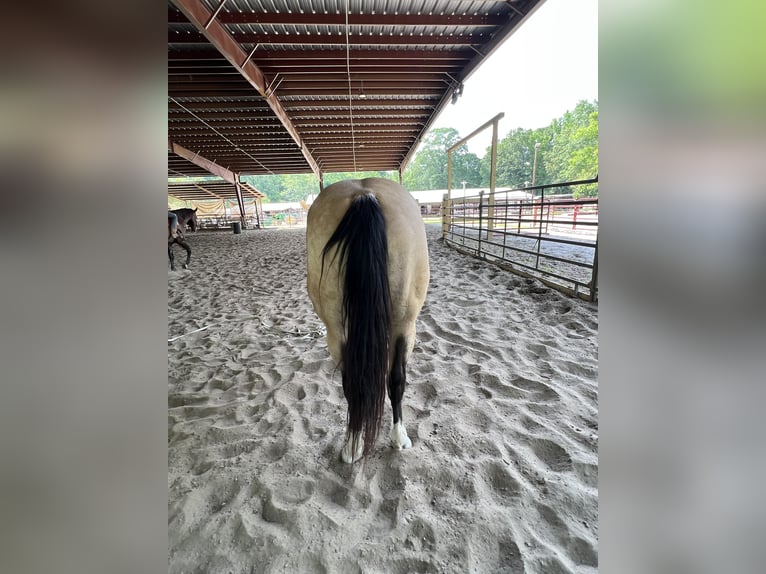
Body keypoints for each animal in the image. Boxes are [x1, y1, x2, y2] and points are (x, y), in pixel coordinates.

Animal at [308, 178, 432, 466]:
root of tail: (364, 194)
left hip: (338, 330)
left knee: (355, 384)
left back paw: (354, 444)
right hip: (404, 323)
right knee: (394, 379)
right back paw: (393, 438)